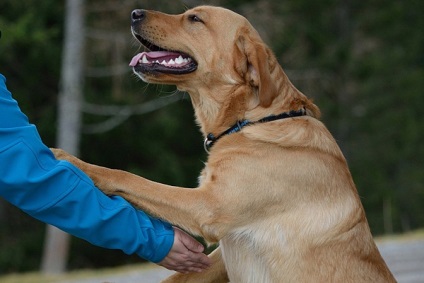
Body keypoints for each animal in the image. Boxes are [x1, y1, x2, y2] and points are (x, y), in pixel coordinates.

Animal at [52, 5, 394, 283]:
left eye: (195, 18)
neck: (253, 120)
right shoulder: (218, 250)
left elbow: (128, 177)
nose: (134, 13)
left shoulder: (207, 206)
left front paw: (70, 160)